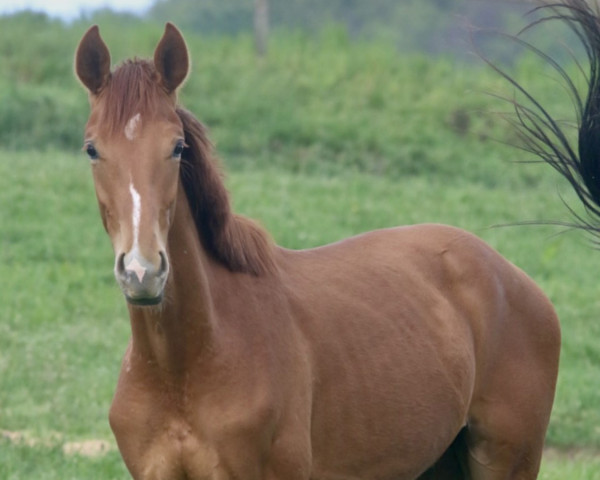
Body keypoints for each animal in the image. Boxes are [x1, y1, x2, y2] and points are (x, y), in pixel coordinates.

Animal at [76, 21, 564, 476]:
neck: (183, 368)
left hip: (508, 461)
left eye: (177, 147)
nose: (142, 272)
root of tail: (515, 280)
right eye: (92, 149)